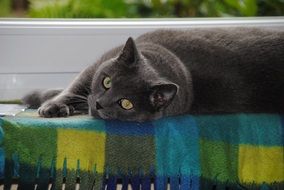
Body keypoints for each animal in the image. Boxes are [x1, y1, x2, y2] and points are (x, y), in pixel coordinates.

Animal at [21, 27, 284, 121]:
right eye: (107, 81)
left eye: (126, 103)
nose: (99, 103)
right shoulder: (96, 66)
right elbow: (74, 87)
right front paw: (50, 105)